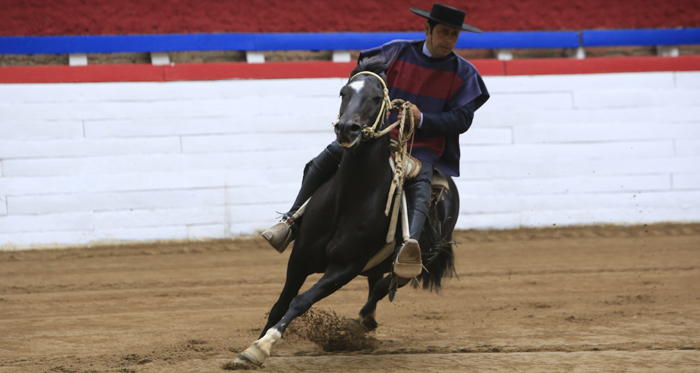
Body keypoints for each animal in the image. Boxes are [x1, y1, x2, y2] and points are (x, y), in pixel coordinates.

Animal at [234, 57, 460, 366]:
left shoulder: (345, 267)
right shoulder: (300, 256)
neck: (348, 199)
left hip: (416, 261)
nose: (346, 129)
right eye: (344, 92)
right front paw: (251, 346)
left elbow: (301, 301)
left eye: (377, 98)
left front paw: (263, 345)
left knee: (384, 284)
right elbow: (281, 302)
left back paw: (361, 320)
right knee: (376, 282)